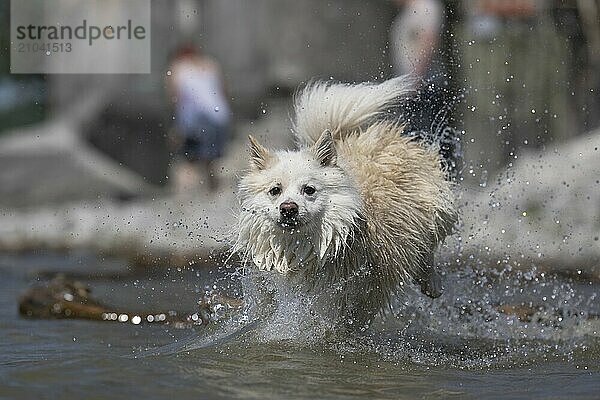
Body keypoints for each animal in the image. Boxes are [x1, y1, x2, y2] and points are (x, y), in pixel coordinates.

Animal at [232, 76, 458, 330]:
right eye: (275, 191)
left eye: (309, 190)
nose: (288, 208)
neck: (303, 248)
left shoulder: (348, 294)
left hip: (434, 210)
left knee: (428, 246)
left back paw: (431, 283)